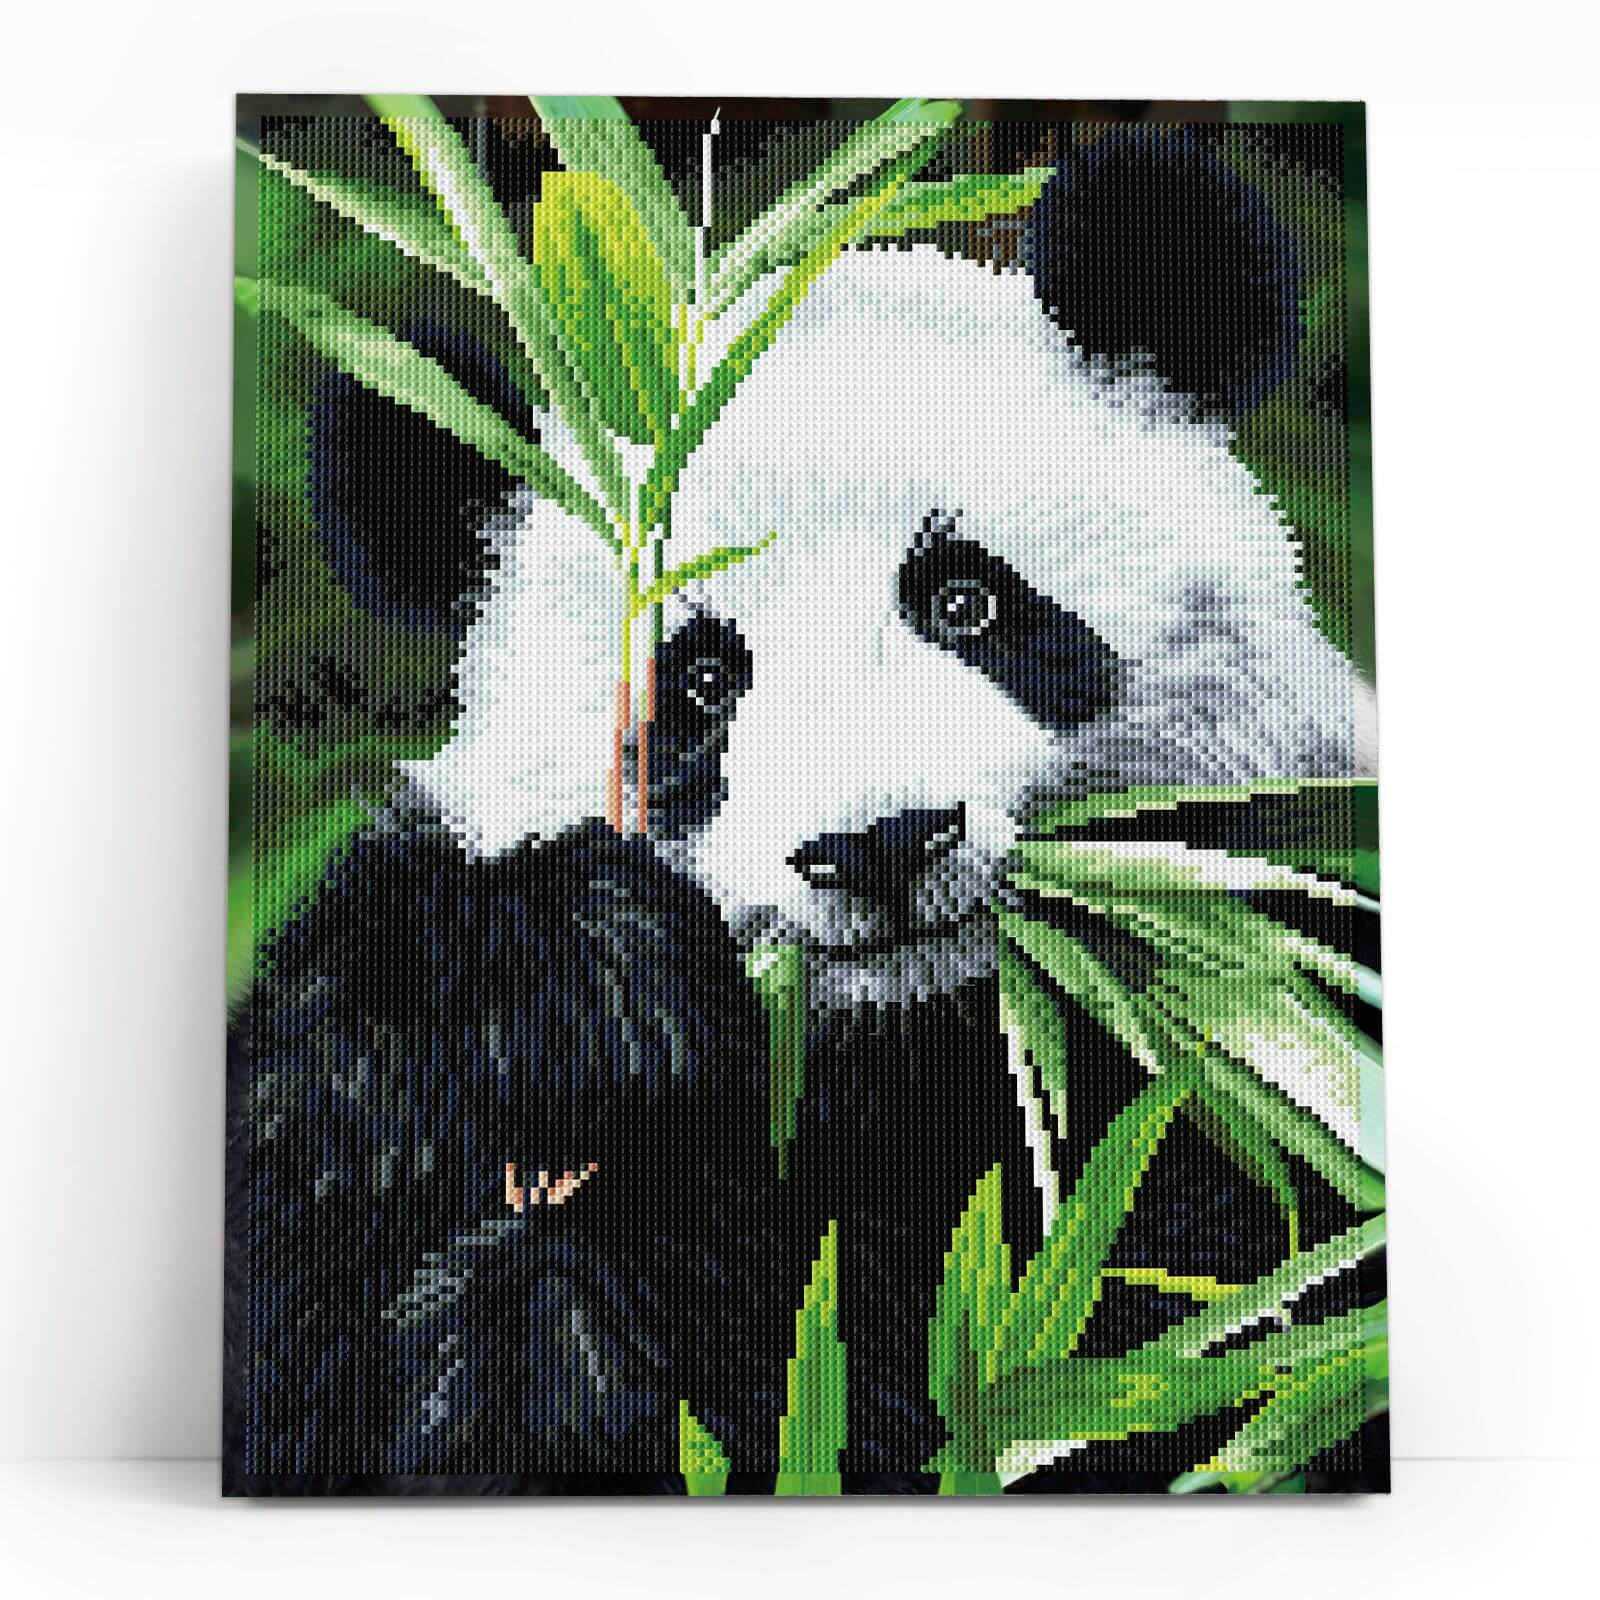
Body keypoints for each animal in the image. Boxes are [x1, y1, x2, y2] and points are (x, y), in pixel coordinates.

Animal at [233, 127, 1369, 1491]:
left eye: (965, 601)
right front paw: (589, 985)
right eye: (703, 680)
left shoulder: (1284, 975)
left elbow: (1200, 1312)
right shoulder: (361, 1086)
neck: (907, 1041)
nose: (877, 844)